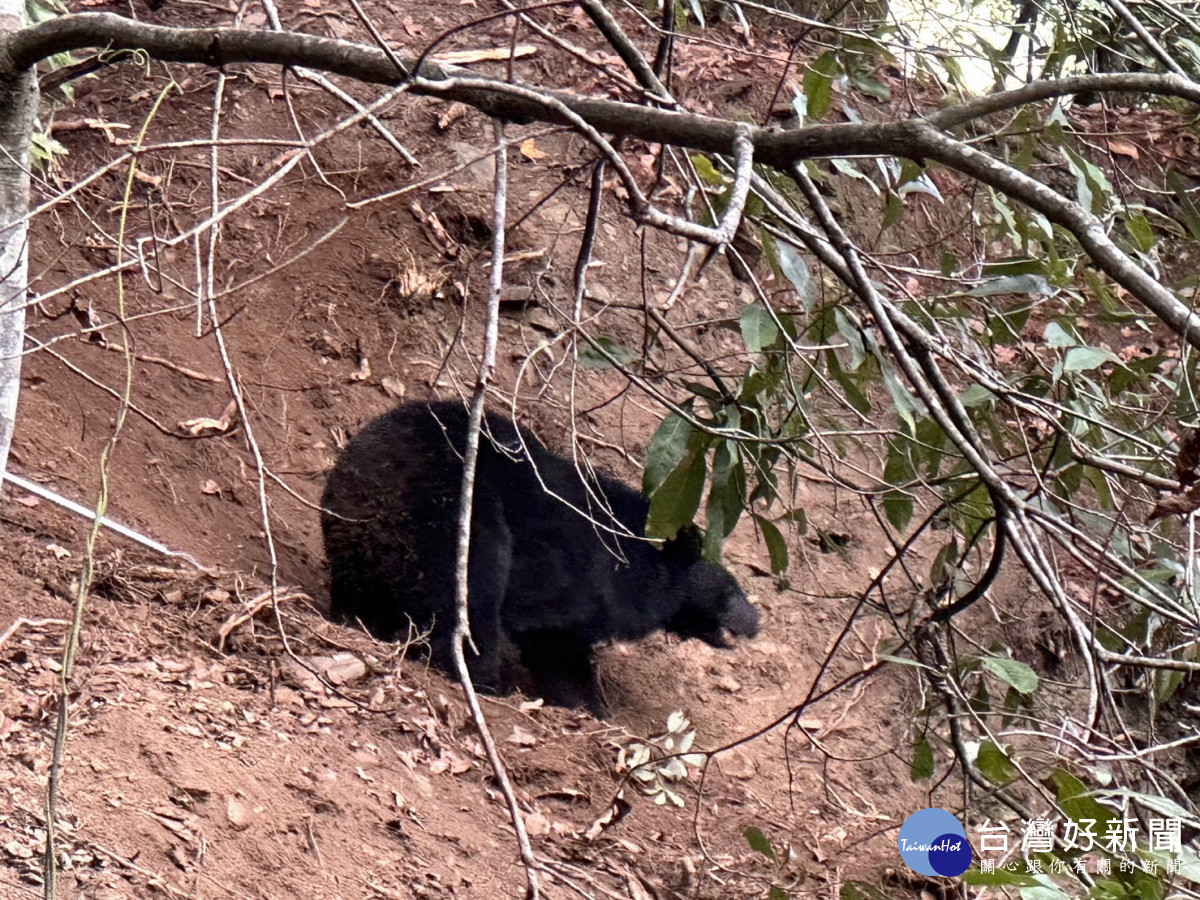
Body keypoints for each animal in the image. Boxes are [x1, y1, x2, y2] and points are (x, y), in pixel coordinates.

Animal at [321, 400, 759, 713]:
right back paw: (480, 679)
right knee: (469, 602)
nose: (757, 621)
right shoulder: (574, 577)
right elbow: (554, 640)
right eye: (729, 592)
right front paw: (589, 706)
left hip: (355, 546)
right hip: (450, 525)